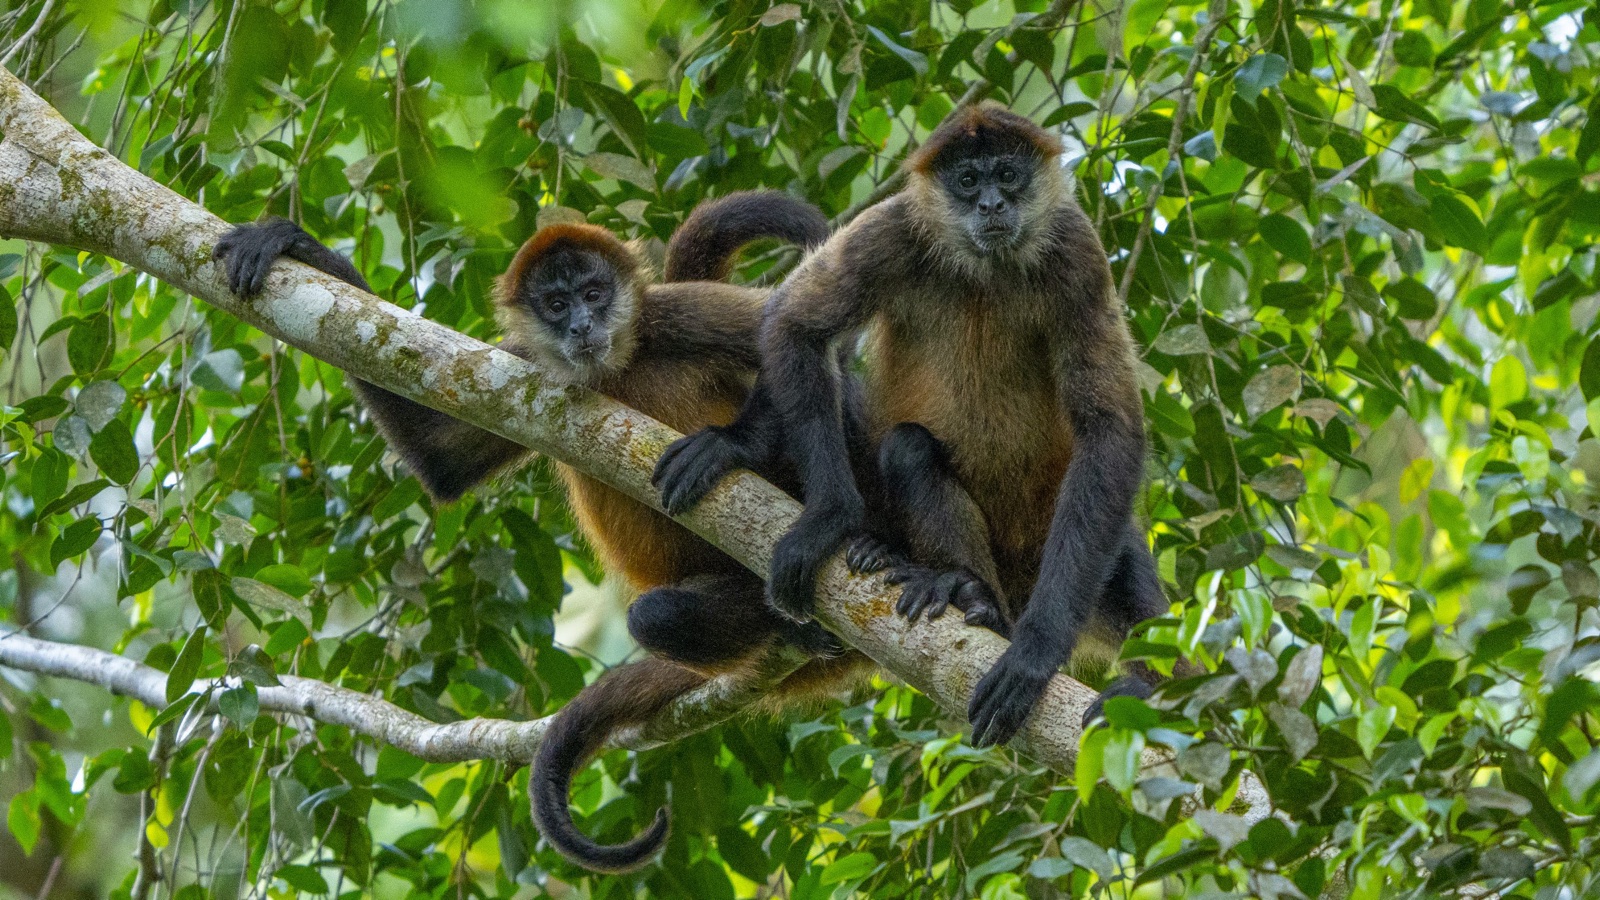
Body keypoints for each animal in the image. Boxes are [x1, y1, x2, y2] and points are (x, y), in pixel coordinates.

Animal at [213, 191, 874, 873]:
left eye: (593, 293)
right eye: (556, 305)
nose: (581, 326)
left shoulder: (669, 310)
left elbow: (816, 345)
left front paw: (731, 445)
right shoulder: (525, 362)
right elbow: (442, 461)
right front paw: (295, 245)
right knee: (657, 616)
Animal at [654, 104, 1173, 750]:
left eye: (1008, 174)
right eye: (968, 182)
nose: (992, 205)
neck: (984, 268)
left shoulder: (1077, 250)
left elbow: (1110, 430)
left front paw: (1035, 652)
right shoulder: (892, 228)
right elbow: (792, 325)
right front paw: (817, 510)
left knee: (1116, 541)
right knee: (907, 448)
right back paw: (969, 593)